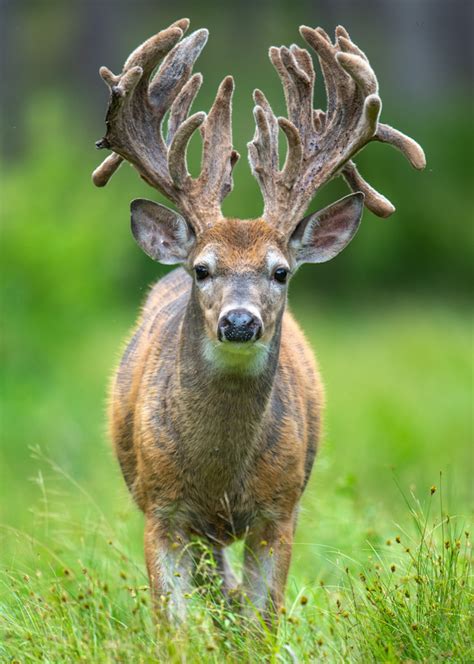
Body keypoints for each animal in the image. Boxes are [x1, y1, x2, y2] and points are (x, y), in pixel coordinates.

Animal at [92, 18, 426, 624]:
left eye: (281, 271)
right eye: (203, 269)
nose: (241, 322)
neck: (220, 477)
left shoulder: (280, 509)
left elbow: (259, 621)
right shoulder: (161, 509)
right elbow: (177, 626)